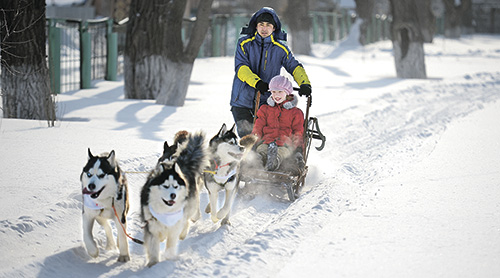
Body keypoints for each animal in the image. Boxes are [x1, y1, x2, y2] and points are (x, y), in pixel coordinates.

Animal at [141, 131, 207, 266]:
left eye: (176, 186)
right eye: (165, 186)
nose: (173, 195)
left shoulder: (174, 226)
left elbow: (171, 242)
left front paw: (168, 257)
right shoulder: (152, 227)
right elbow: (153, 246)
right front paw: (153, 264)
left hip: (189, 207)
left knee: (186, 220)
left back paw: (183, 233)